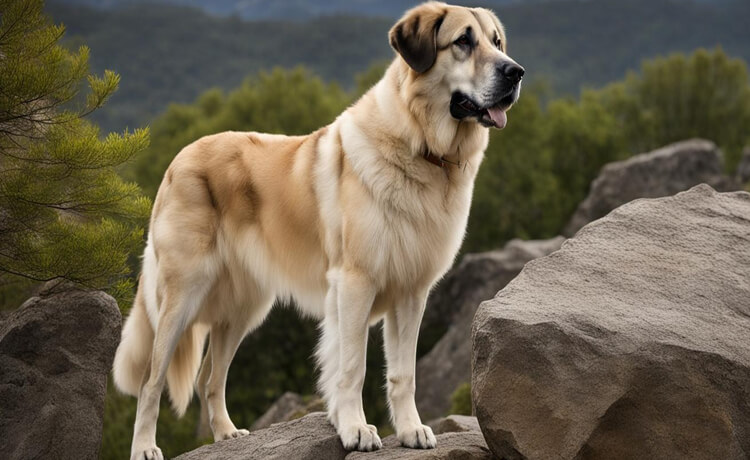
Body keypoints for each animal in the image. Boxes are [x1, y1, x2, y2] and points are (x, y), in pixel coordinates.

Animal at [113, 1, 524, 458]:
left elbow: (403, 373)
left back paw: (226, 433)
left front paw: (410, 430)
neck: (421, 148)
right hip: (182, 296)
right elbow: (353, 366)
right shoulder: (355, 284)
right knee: (151, 380)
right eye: (463, 41)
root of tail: (179, 158)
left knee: (209, 377)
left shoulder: (411, 293)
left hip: (244, 309)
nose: (515, 72)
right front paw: (356, 430)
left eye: (497, 41)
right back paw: (145, 447)